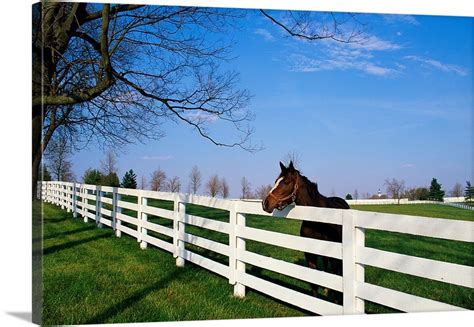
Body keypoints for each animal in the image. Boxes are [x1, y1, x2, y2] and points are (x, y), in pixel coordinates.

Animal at [262, 160, 350, 304]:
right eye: (276, 181)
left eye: (286, 182)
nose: (265, 203)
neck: (317, 220)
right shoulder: (310, 254)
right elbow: (313, 281)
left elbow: (336, 277)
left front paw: (337, 300)